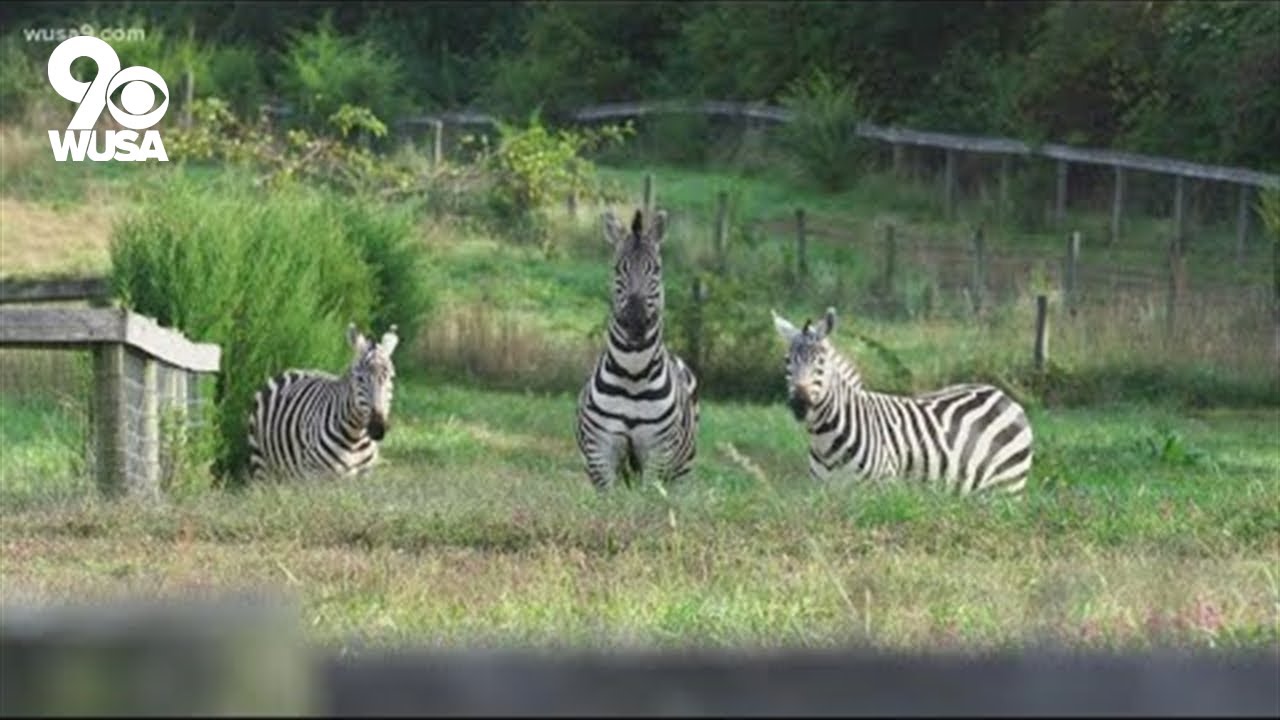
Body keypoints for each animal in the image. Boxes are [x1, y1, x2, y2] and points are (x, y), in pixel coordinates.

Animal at [247, 323, 400, 482]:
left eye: (391, 378)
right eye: (359, 379)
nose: (378, 428)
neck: (355, 437)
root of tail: (293, 369)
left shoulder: (364, 476)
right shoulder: (316, 476)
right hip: (261, 463)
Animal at [575, 208, 700, 490]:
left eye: (656, 270)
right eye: (617, 269)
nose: (636, 323)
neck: (632, 373)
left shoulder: (658, 453)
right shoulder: (600, 452)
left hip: (681, 471)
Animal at [771, 306, 1033, 496]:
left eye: (821, 362)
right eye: (787, 361)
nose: (800, 404)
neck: (825, 441)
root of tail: (1001, 393)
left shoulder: (880, 492)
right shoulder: (825, 494)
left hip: (1006, 489)